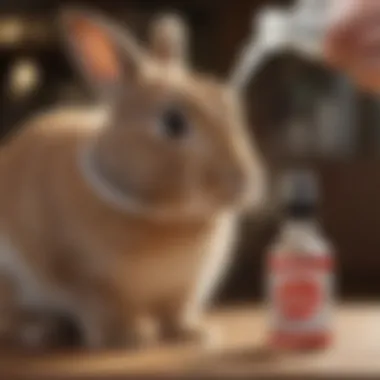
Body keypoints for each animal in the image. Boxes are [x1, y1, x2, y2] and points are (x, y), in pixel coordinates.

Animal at [0, 6, 264, 350]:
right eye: (173, 122)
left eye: (227, 104)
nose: (243, 183)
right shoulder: (84, 278)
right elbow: (102, 306)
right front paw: (129, 338)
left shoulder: (183, 287)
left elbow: (176, 311)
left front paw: (192, 334)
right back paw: (40, 330)